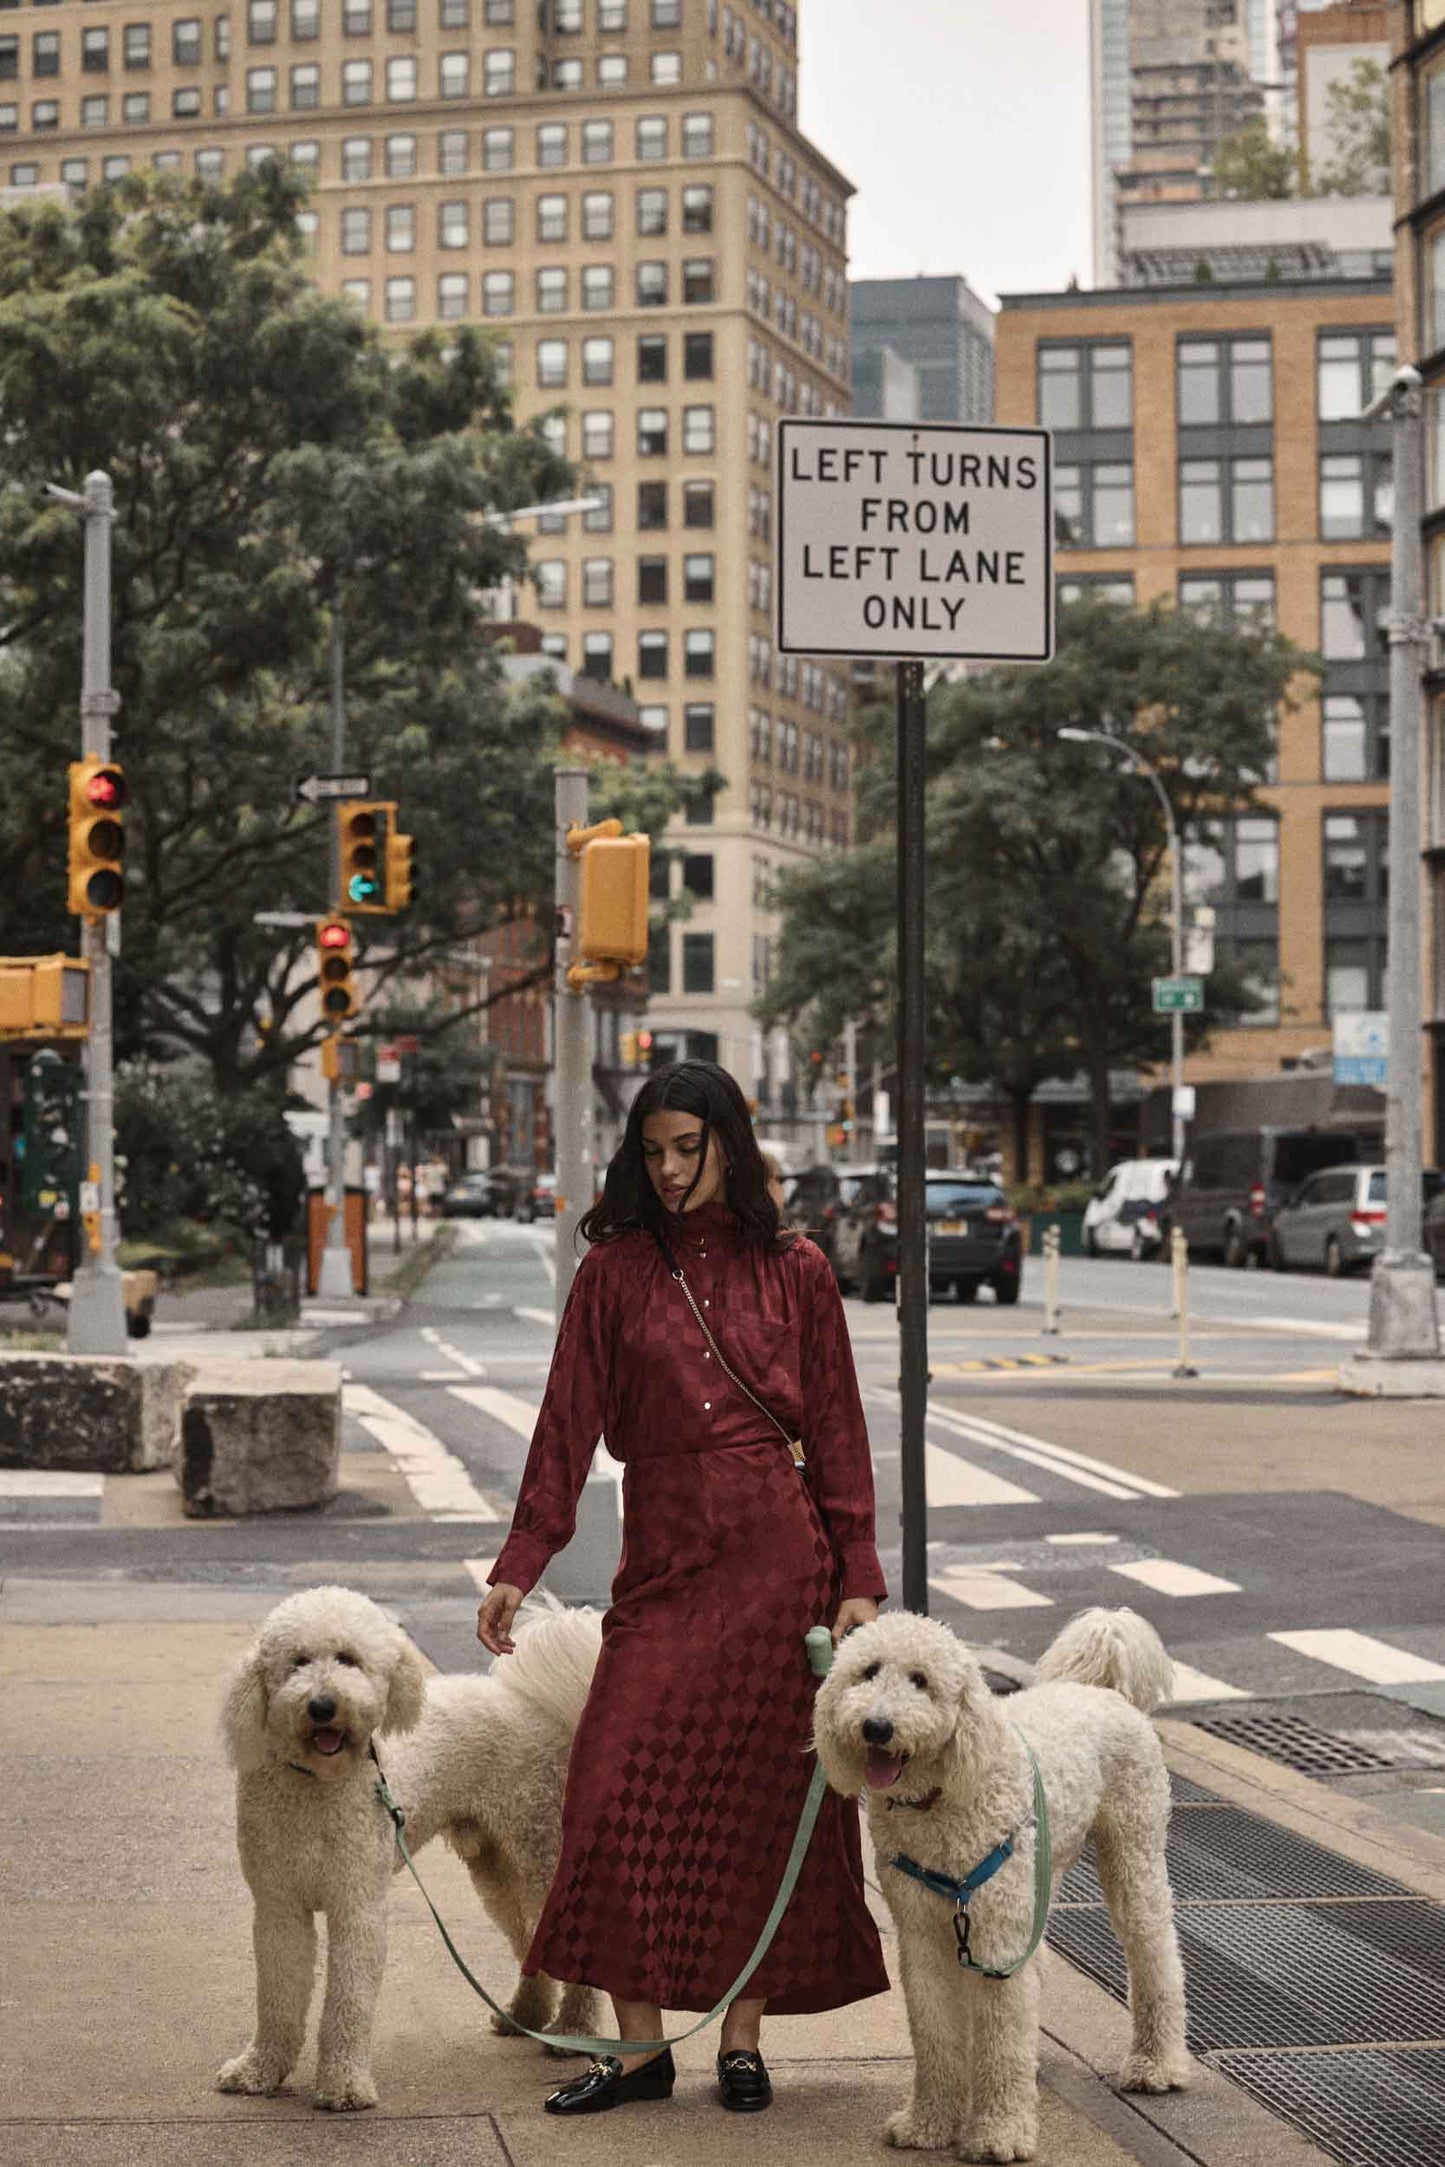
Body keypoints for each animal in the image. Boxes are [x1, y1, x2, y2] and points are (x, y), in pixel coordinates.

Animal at [214, 1586, 597, 2106]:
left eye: (348, 1659)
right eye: (297, 1662)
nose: (322, 1706)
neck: (315, 1783)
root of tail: (534, 1703)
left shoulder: (357, 1905)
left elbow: (348, 2000)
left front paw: (344, 2085)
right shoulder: (279, 1908)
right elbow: (277, 1996)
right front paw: (259, 2070)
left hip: (541, 1852)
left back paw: (574, 2031)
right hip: (497, 1866)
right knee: (527, 1938)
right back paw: (525, 2016)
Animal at [814, 1603, 1187, 2158]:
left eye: (921, 1680)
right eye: (868, 1672)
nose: (876, 1726)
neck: (938, 1800)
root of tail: (1103, 1691)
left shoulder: (993, 1934)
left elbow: (1000, 2038)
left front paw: (999, 2133)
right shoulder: (921, 1934)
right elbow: (933, 2032)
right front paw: (928, 2123)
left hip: (1132, 1852)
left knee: (1155, 1952)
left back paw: (1156, 2064)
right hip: (1040, 1875)